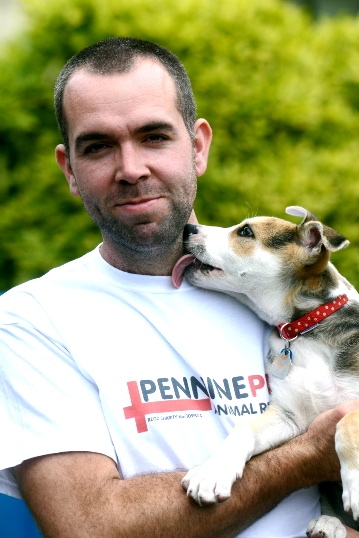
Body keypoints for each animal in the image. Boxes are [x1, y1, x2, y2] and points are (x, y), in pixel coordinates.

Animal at [172, 205, 359, 536]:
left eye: (246, 232)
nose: (187, 229)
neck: (309, 330)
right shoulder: (289, 416)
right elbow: (244, 428)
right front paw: (213, 471)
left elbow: (348, 420)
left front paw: (356, 487)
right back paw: (330, 523)